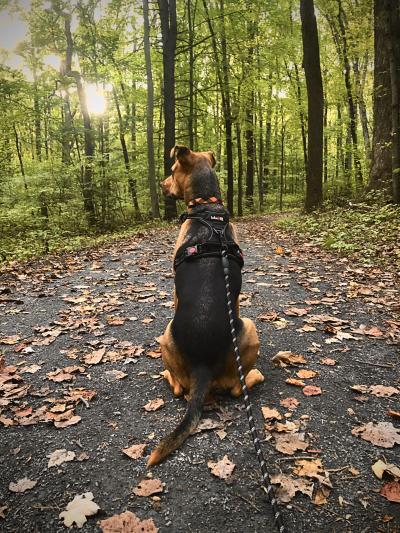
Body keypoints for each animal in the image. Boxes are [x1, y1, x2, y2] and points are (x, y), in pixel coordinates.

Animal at [147, 145, 262, 466]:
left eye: (173, 170)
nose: (161, 184)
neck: (208, 209)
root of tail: (202, 365)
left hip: (169, 334)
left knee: (187, 388)